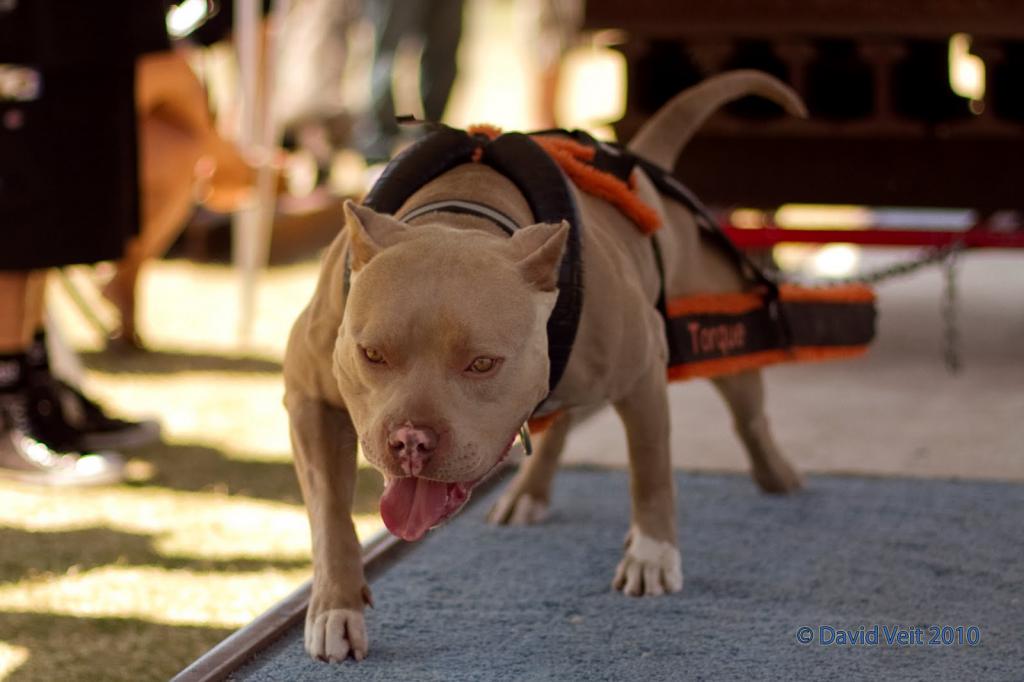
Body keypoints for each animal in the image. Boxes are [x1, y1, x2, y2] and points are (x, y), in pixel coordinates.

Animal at [286, 71, 806, 659]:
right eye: (372, 354)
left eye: (482, 363)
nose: (410, 441)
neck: (461, 213)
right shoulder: (307, 396)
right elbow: (330, 515)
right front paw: (335, 607)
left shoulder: (643, 373)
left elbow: (650, 470)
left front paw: (652, 554)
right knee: (558, 423)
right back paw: (528, 493)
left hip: (721, 321)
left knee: (749, 414)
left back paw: (775, 474)